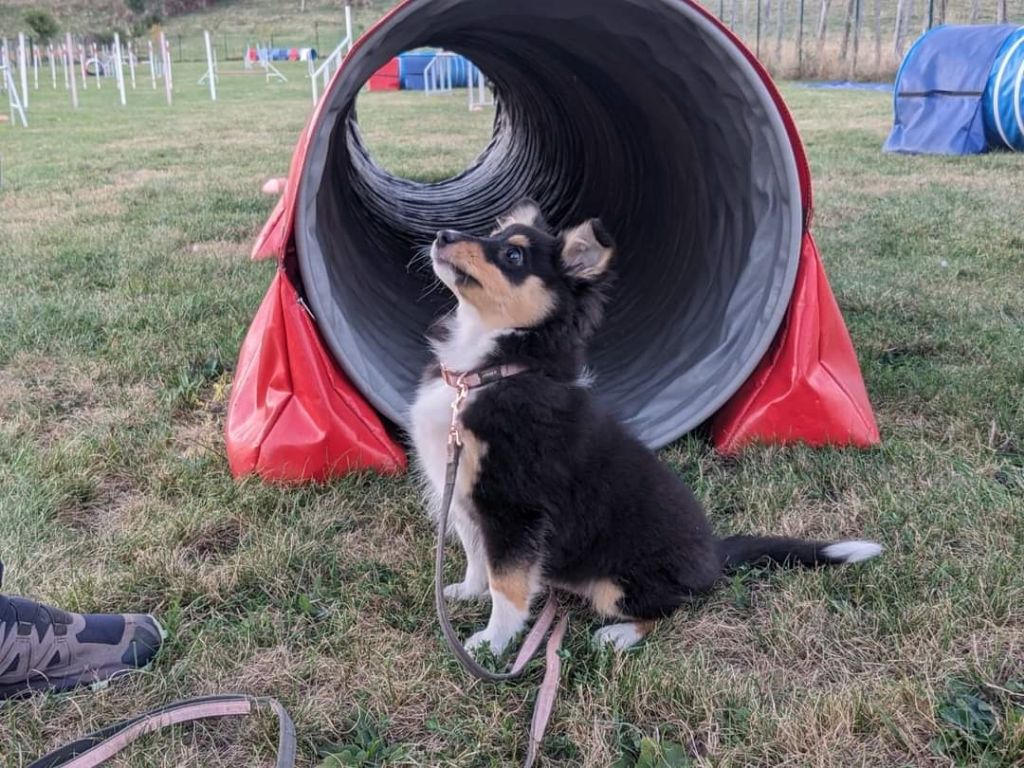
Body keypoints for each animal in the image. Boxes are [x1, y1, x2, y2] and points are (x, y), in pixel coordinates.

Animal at [407, 199, 880, 655]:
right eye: (493, 235)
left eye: (513, 254)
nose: (443, 235)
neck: (485, 373)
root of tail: (714, 556)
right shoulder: (465, 497)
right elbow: (477, 557)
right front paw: (467, 593)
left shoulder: (513, 509)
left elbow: (507, 585)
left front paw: (493, 643)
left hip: (618, 586)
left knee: (675, 607)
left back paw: (618, 636)